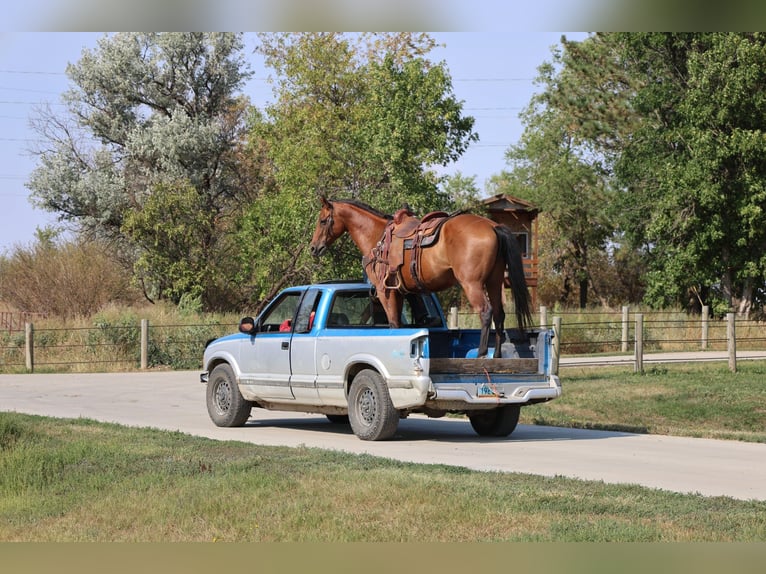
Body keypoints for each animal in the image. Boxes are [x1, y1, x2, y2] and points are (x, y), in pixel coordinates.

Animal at [309, 196, 532, 358]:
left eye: (322, 220)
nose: (313, 248)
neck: (377, 236)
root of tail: (493, 227)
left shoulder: (385, 292)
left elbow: (393, 324)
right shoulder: (401, 292)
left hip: (472, 284)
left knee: (486, 312)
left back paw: (481, 354)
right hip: (494, 282)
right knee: (499, 315)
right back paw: (497, 356)